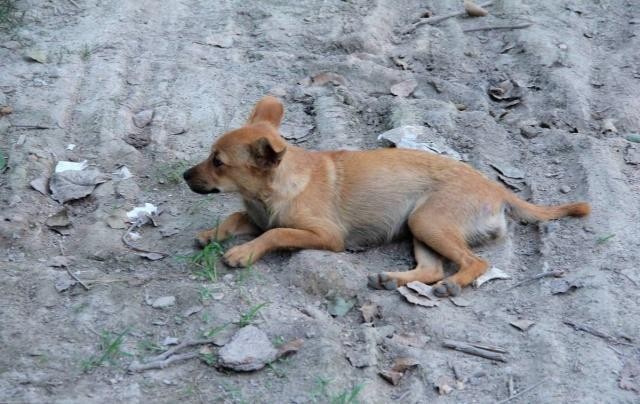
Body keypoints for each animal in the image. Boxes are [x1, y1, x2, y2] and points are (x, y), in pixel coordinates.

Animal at [181, 96, 592, 296]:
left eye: (217, 162)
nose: (184, 176)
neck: (270, 193)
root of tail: (495, 186)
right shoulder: (255, 214)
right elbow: (237, 217)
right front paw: (213, 233)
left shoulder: (326, 236)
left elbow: (276, 232)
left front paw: (244, 252)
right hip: (419, 226)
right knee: (432, 268)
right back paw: (392, 280)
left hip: (428, 221)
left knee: (474, 263)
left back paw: (452, 286)